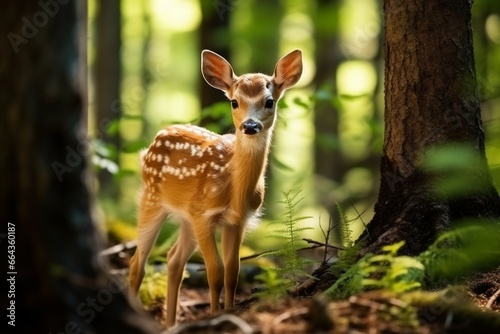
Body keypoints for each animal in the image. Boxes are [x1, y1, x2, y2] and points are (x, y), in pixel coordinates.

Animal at [127, 49, 302, 326]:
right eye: (234, 102)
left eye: (269, 102)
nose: (250, 126)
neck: (234, 190)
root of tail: (152, 143)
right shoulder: (204, 215)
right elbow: (215, 271)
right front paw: (214, 315)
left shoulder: (237, 220)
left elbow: (232, 271)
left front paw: (228, 311)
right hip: (152, 198)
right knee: (137, 263)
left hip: (186, 217)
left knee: (174, 260)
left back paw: (171, 324)